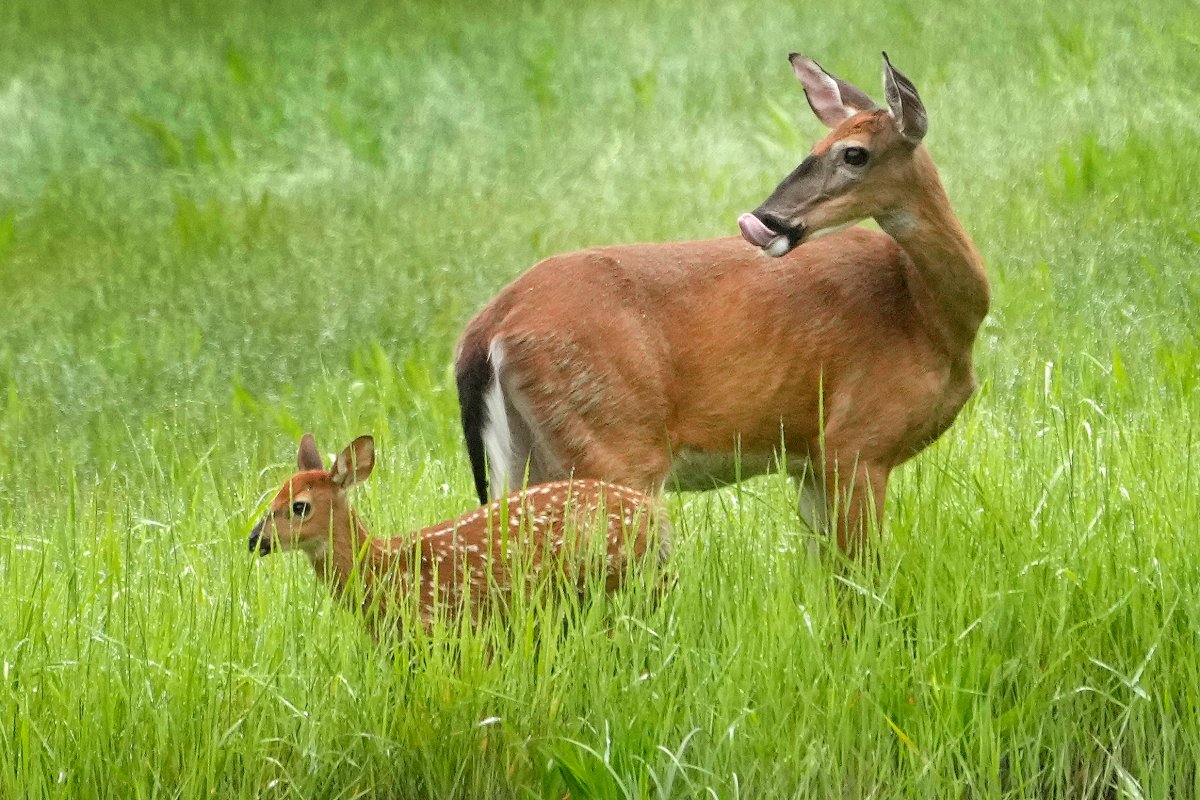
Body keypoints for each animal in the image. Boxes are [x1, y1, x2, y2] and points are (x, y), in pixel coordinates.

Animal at [453, 54, 988, 556]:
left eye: (853, 153)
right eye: (814, 149)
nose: (764, 220)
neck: (929, 316)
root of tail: (485, 330)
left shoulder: (811, 462)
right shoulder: (854, 443)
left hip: (525, 459)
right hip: (613, 447)